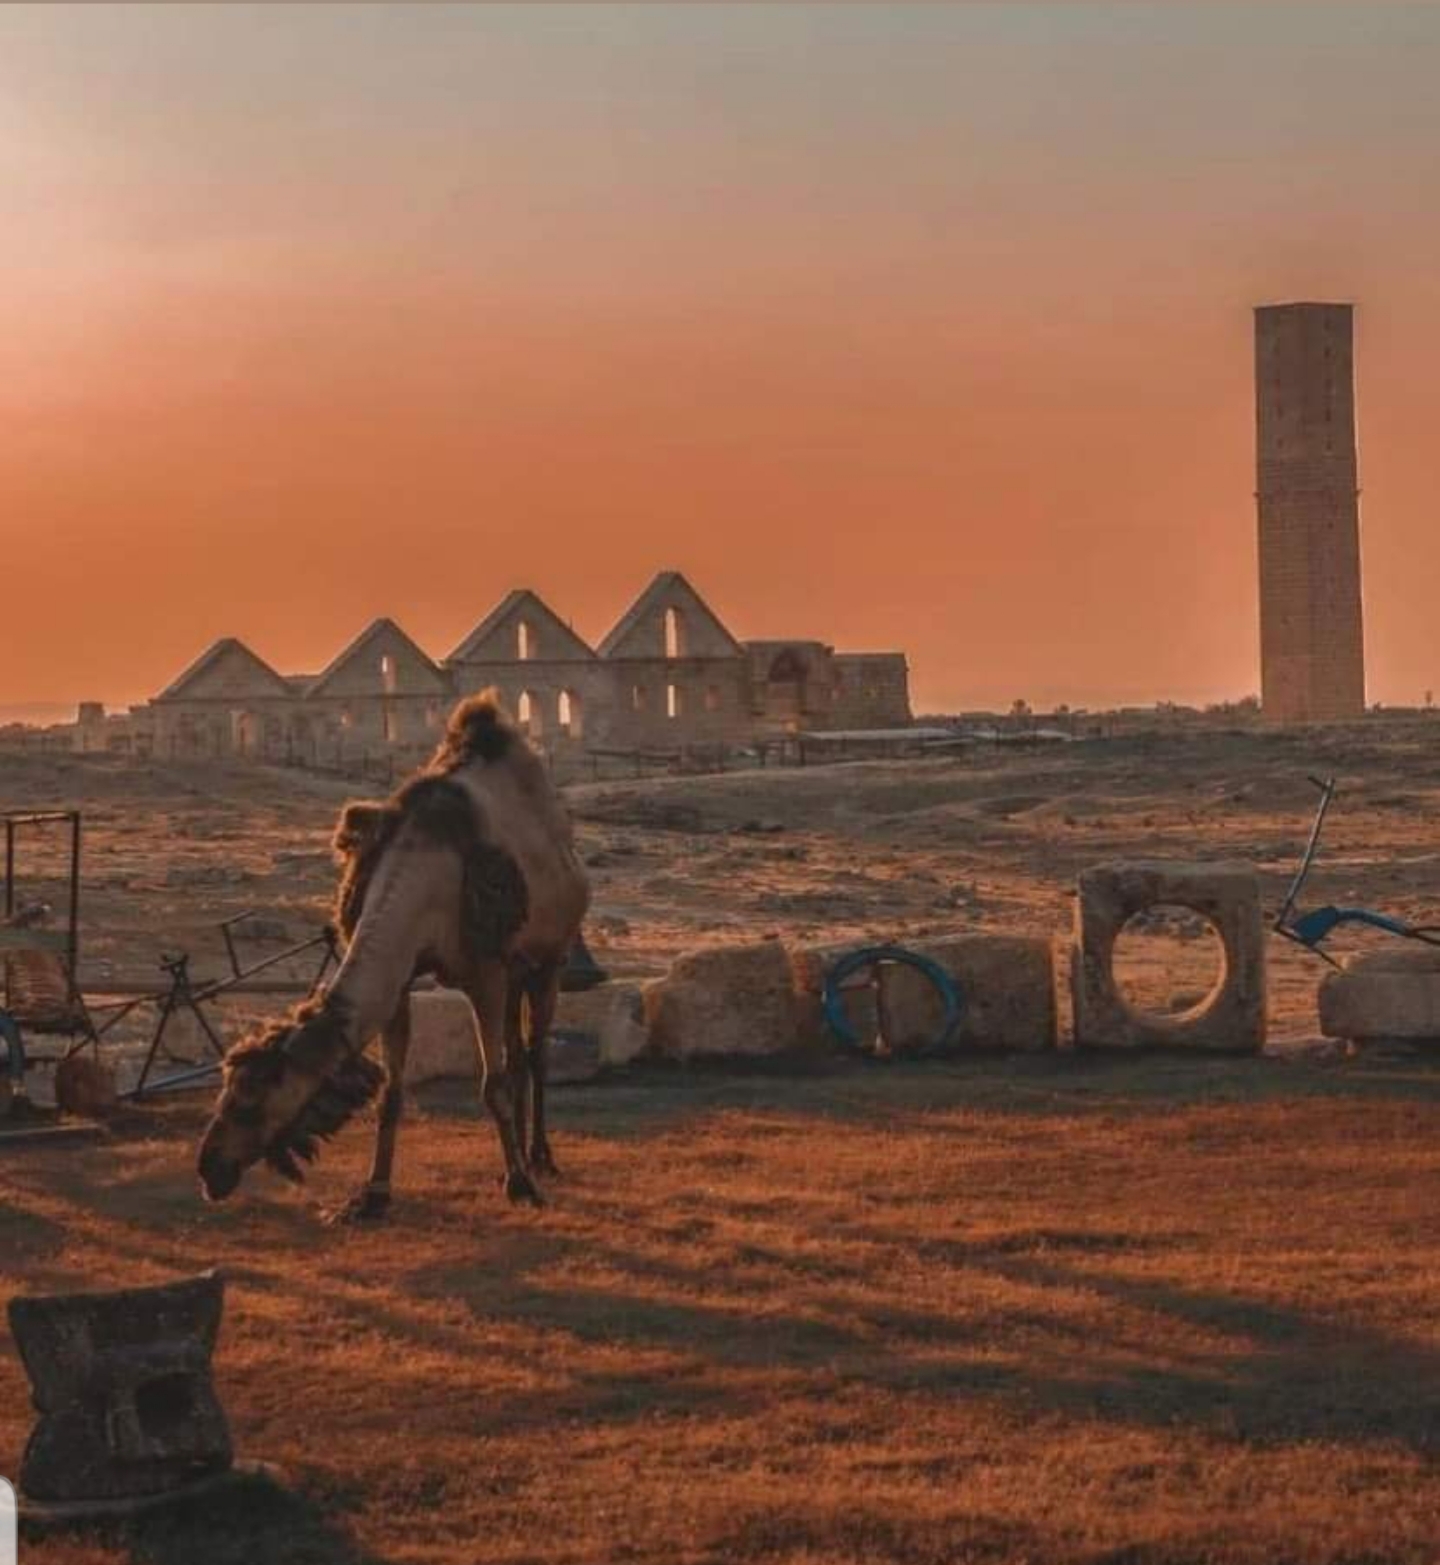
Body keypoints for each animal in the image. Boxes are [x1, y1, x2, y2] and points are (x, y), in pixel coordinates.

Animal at [197, 691, 591, 1214]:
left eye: (249, 1102)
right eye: (225, 1090)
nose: (208, 1167)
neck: (424, 879)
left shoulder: (484, 971)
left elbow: (492, 1084)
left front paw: (521, 1185)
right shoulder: (403, 977)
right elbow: (392, 1090)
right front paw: (373, 1193)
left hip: (550, 958)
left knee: (535, 1051)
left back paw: (540, 1159)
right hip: (515, 969)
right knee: (516, 1052)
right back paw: (520, 1156)